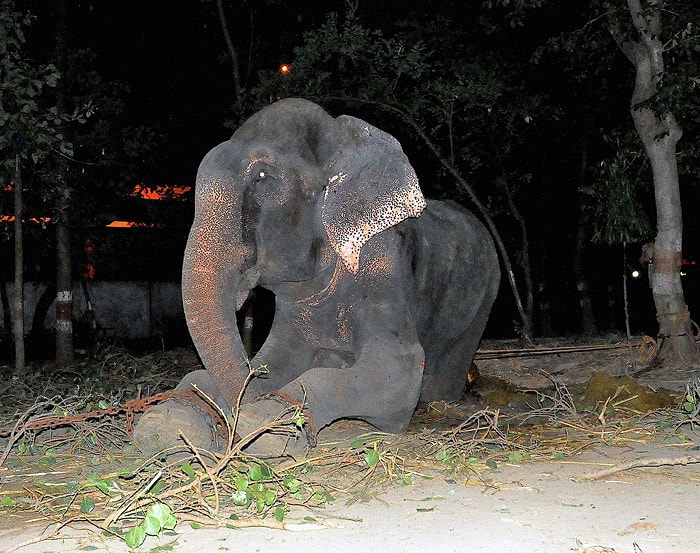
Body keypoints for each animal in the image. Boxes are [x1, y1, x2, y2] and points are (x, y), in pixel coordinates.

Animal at [134, 97, 500, 454]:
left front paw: (267, 425)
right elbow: (272, 360)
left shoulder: (384, 263)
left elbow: (399, 369)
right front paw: (167, 423)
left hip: (483, 301)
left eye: (263, 176)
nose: (235, 414)